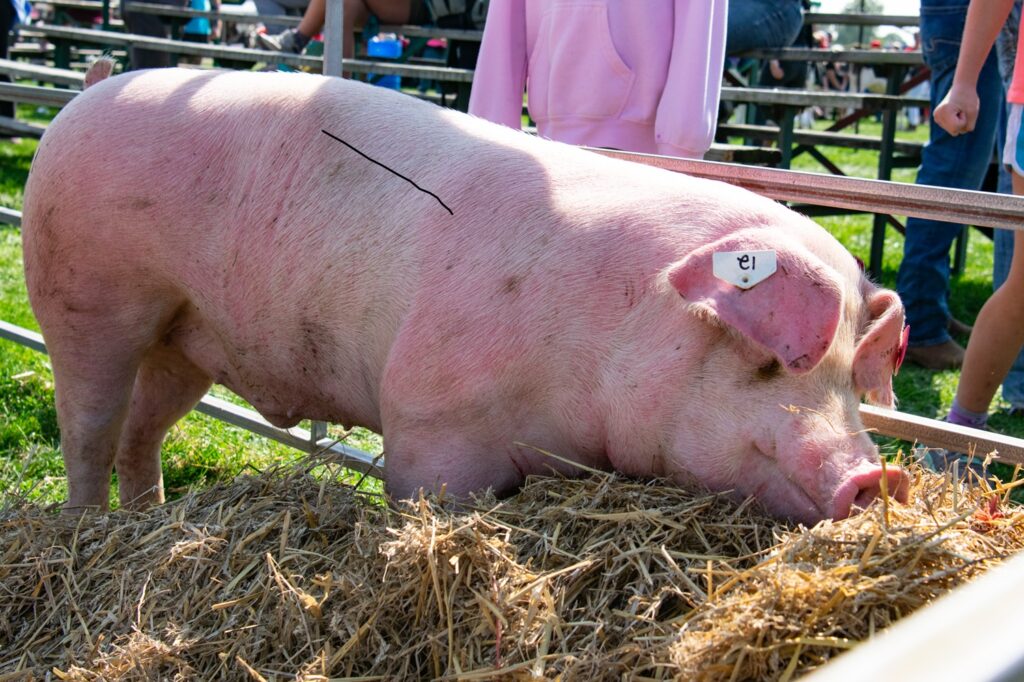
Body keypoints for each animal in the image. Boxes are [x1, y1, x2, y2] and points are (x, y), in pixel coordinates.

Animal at [19, 65, 909, 520]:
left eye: (850, 374)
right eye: (769, 362)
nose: (877, 478)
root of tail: (87, 92)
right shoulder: (429, 419)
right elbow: (429, 494)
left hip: (185, 333)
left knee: (142, 430)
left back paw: (149, 518)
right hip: (84, 295)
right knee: (89, 428)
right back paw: (89, 530)